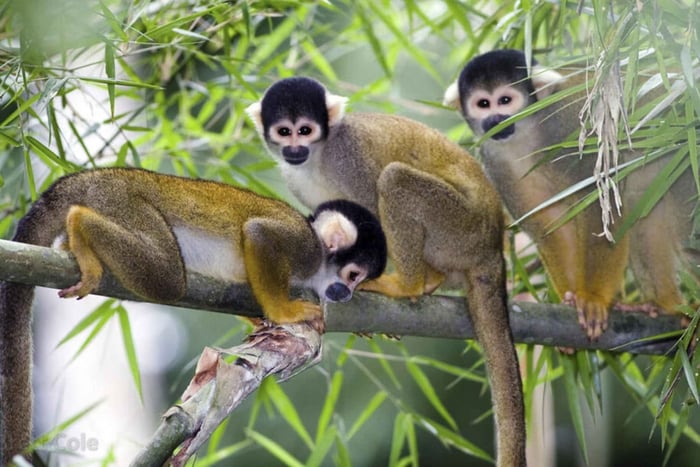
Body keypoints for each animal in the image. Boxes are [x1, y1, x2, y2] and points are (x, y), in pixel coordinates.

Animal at [0, 167, 387, 463]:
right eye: (353, 275)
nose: (348, 292)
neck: (318, 260)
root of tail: (96, 175)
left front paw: (261, 320)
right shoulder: (303, 247)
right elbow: (259, 233)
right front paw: (284, 311)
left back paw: (76, 243)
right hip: (123, 202)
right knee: (167, 278)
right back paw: (79, 224)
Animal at [247, 76, 527, 467]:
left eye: (305, 130)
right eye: (284, 131)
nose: (294, 148)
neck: (318, 155)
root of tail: (492, 246)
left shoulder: (348, 156)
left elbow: (370, 211)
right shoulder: (294, 177)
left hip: (460, 227)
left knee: (393, 180)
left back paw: (411, 283)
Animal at [443, 48, 697, 340]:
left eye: (505, 100)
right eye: (483, 104)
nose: (495, 120)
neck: (527, 134)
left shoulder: (568, 129)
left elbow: (600, 209)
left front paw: (594, 297)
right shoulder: (496, 164)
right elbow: (551, 224)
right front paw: (573, 298)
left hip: (686, 163)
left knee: (687, 236)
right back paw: (668, 305)